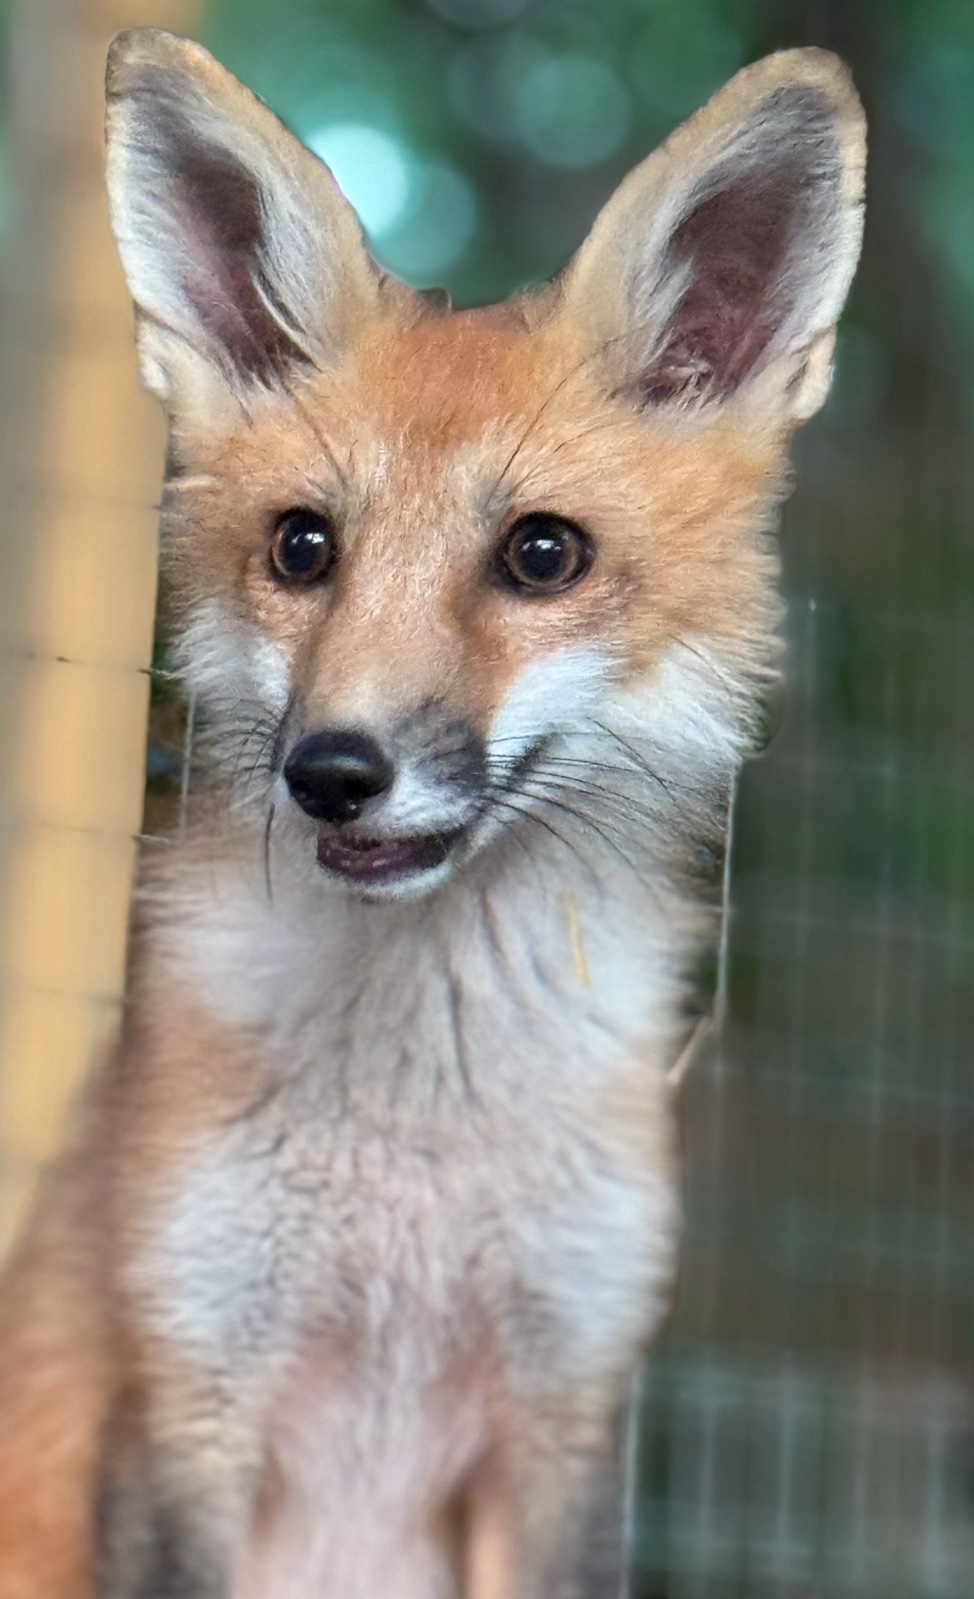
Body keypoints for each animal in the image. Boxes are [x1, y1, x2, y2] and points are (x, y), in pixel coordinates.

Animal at [0, 27, 865, 1599]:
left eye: (540, 553)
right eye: (302, 547)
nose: (332, 769)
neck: (419, 1159)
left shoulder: (565, 1410)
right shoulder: (184, 1393)